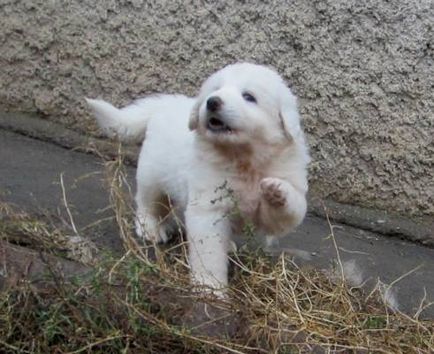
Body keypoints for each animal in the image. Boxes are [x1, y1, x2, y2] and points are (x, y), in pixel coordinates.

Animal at [86, 63, 308, 294]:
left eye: (249, 96)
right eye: (216, 90)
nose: (212, 101)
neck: (243, 158)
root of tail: (166, 103)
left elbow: (285, 212)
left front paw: (277, 190)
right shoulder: (209, 206)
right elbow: (209, 252)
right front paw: (210, 288)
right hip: (152, 174)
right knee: (150, 203)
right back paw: (151, 228)